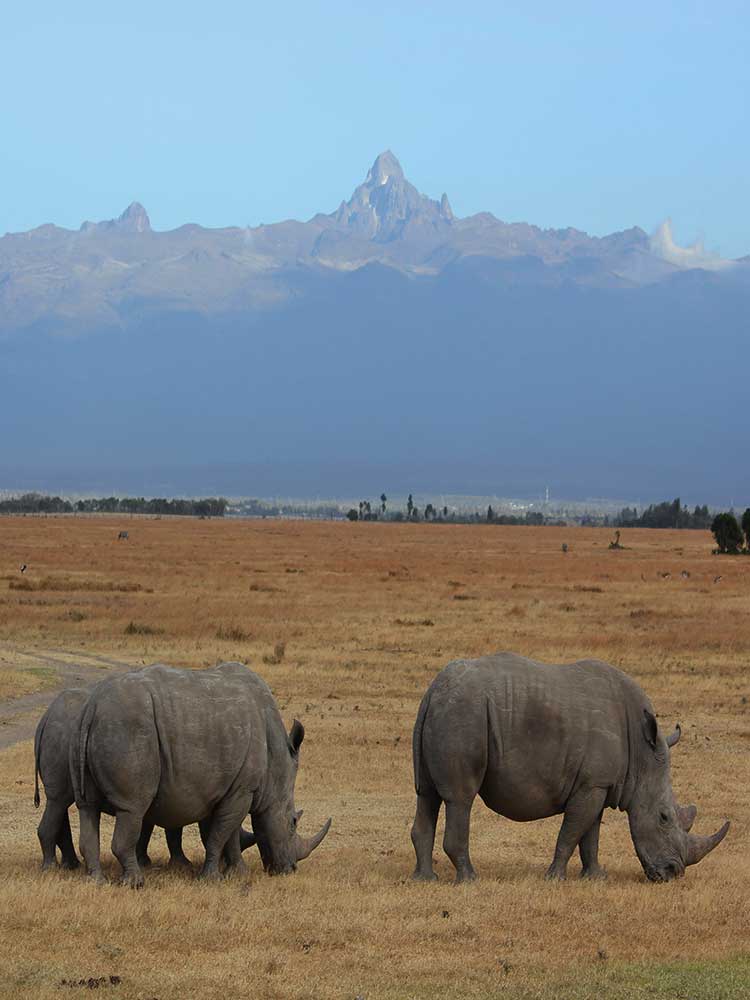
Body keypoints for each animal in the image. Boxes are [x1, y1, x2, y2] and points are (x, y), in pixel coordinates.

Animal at [34, 687, 257, 871]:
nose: (224, 861)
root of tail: (46, 717)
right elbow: (167, 826)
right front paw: (173, 864)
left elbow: (154, 825)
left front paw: (148, 861)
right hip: (65, 735)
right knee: (59, 801)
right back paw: (58, 867)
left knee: (59, 802)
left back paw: (69, 866)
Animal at [70, 661, 330, 886]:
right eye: (293, 822)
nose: (291, 869)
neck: (277, 761)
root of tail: (92, 706)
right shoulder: (243, 788)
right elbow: (220, 834)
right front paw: (212, 879)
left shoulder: (230, 788)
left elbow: (228, 834)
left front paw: (238, 873)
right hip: (128, 728)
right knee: (132, 808)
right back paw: (135, 883)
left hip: (94, 728)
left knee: (88, 807)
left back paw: (96, 882)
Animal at [410, 652, 729, 883]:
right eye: (664, 817)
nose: (674, 873)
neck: (641, 756)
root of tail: (434, 690)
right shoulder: (592, 783)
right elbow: (572, 831)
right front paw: (555, 879)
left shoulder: (599, 784)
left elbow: (591, 834)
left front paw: (595, 878)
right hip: (466, 714)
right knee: (460, 799)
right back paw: (470, 880)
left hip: (446, 711)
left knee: (427, 795)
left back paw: (425, 879)